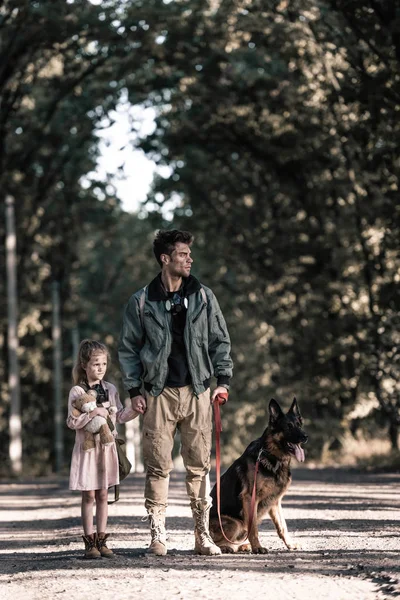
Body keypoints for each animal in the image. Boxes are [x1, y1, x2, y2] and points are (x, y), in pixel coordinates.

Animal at [208, 398, 308, 552]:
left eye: (299, 425)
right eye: (288, 427)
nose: (305, 437)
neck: (272, 456)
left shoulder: (275, 501)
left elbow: (282, 526)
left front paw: (290, 544)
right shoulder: (250, 497)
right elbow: (254, 527)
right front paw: (258, 548)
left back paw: (243, 546)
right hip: (235, 523)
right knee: (217, 540)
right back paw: (225, 548)